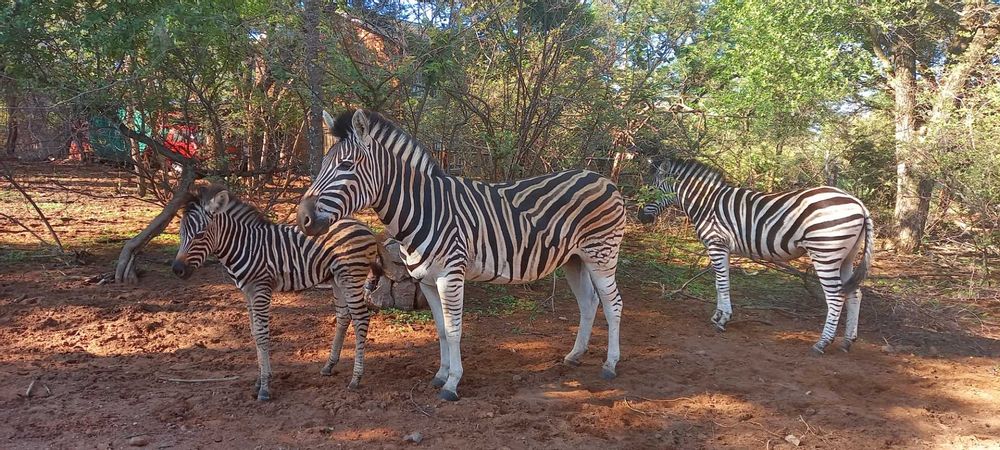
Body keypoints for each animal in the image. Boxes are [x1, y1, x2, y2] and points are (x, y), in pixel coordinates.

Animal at [170, 185, 380, 402]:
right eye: (180, 233)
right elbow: (254, 333)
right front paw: (260, 380)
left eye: (200, 235)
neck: (244, 246)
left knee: (361, 318)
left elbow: (262, 334)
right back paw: (329, 366)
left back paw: (356, 378)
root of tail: (362, 224)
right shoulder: (247, 292)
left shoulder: (261, 289)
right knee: (343, 316)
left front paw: (264, 388)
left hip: (351, 275)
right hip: (337, 278)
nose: (177, 270)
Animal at [294, 110, 624, 400]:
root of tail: (603, 178)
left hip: (601, 254)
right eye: (325, 164)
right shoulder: (426, 281)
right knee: (589, 302)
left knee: (613, 304)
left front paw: (452, 384)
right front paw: (440, 374)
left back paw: (610, 365)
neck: (424, 209)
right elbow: (440, 330)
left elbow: (454, 330)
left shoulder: (450, 277)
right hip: (575, 259)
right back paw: (575, 356)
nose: (302, 219)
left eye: (346, 165)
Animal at [640, 158, 876, 356]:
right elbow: (719, 283)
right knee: (854, 293)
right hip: (846, 256)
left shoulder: (717, 244)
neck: (706, 203)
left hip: (825, 251)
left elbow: (723, 283)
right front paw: (718, 315)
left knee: (836, 296)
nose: (640, 217)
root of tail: (858, 203)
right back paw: (847, 341)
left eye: (651, 189)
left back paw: (822, 343)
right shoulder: (722, 248)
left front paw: (723, 319)